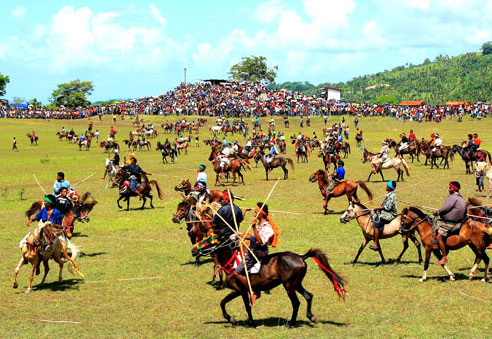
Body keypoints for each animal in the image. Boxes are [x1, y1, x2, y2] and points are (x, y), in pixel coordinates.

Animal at [192, 235, 346, 328]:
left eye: (208, 240)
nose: (194, 251)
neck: (233, 263)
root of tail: (301, 257)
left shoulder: (239, 290)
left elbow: (228, 303)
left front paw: (235, 320)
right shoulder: (242, 291)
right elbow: (235, 304)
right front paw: (244, 321)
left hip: (289, 285)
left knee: (296, 303)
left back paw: (291, 323)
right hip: (296, 284)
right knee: (308, 296)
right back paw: (311, 317)